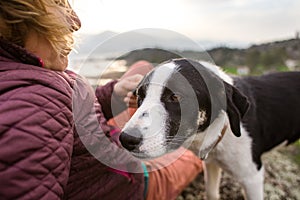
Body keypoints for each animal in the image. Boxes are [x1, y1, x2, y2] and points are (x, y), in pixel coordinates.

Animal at [119, 58, 300, 200]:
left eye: (175, 96)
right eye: (140, 96)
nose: (126, 139)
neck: (223, 129)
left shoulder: (252, 178)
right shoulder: (212, 165)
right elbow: (212, 193)